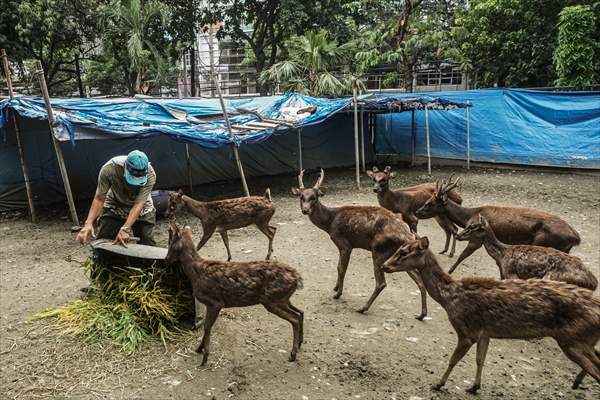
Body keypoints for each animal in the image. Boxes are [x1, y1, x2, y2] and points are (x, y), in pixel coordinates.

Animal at [165, 222, 302, 366]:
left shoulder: (215, 302)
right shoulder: (211, 304)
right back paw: (299, 345)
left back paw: (293, 354)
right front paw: (199, 349)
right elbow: (207, 326)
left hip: (272, 300)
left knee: (294, 319)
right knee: (299, 313)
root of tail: (297, 278)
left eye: (170, 242)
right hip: (282, 299)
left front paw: (205, 357)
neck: (195, 273)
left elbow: (207, 327)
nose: (166, 259)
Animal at [290, 167, 426, 318]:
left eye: (314, 197)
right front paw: (335, 287)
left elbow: (341, 268)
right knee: (419, 279)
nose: (305, 210)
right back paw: (422, 314)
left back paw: (362, 308)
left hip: (378, 249)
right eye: (301, 197)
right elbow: (338, 266)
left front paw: (338, 293)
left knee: (381, 283)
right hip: (398, 255)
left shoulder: (345, 244)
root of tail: (407, 234)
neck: (330, 223)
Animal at [382, 238, 600, 394]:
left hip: (573, 339)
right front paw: (474, 386)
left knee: (596, 369)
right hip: (583, 340)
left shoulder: (466, 330)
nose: (384, 265)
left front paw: (438, 384)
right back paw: (576, 381)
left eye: (404, 252)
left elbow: (453, 359)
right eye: (399, 247)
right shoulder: (485, 332)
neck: (449, 298)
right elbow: (481, 359)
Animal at [414, 177, 580, 276]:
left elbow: (463, 255)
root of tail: (576, 237)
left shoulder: (476, 238)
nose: (417, 212)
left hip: (544, 243)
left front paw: (449, 271)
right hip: (564, 249)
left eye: (430, 203)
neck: (469, 216)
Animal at [458, 214, 596, 290]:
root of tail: (593, 282)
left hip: (551, 278)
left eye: (472, 226)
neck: (502, 255)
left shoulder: (511, 274)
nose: (458, 235)